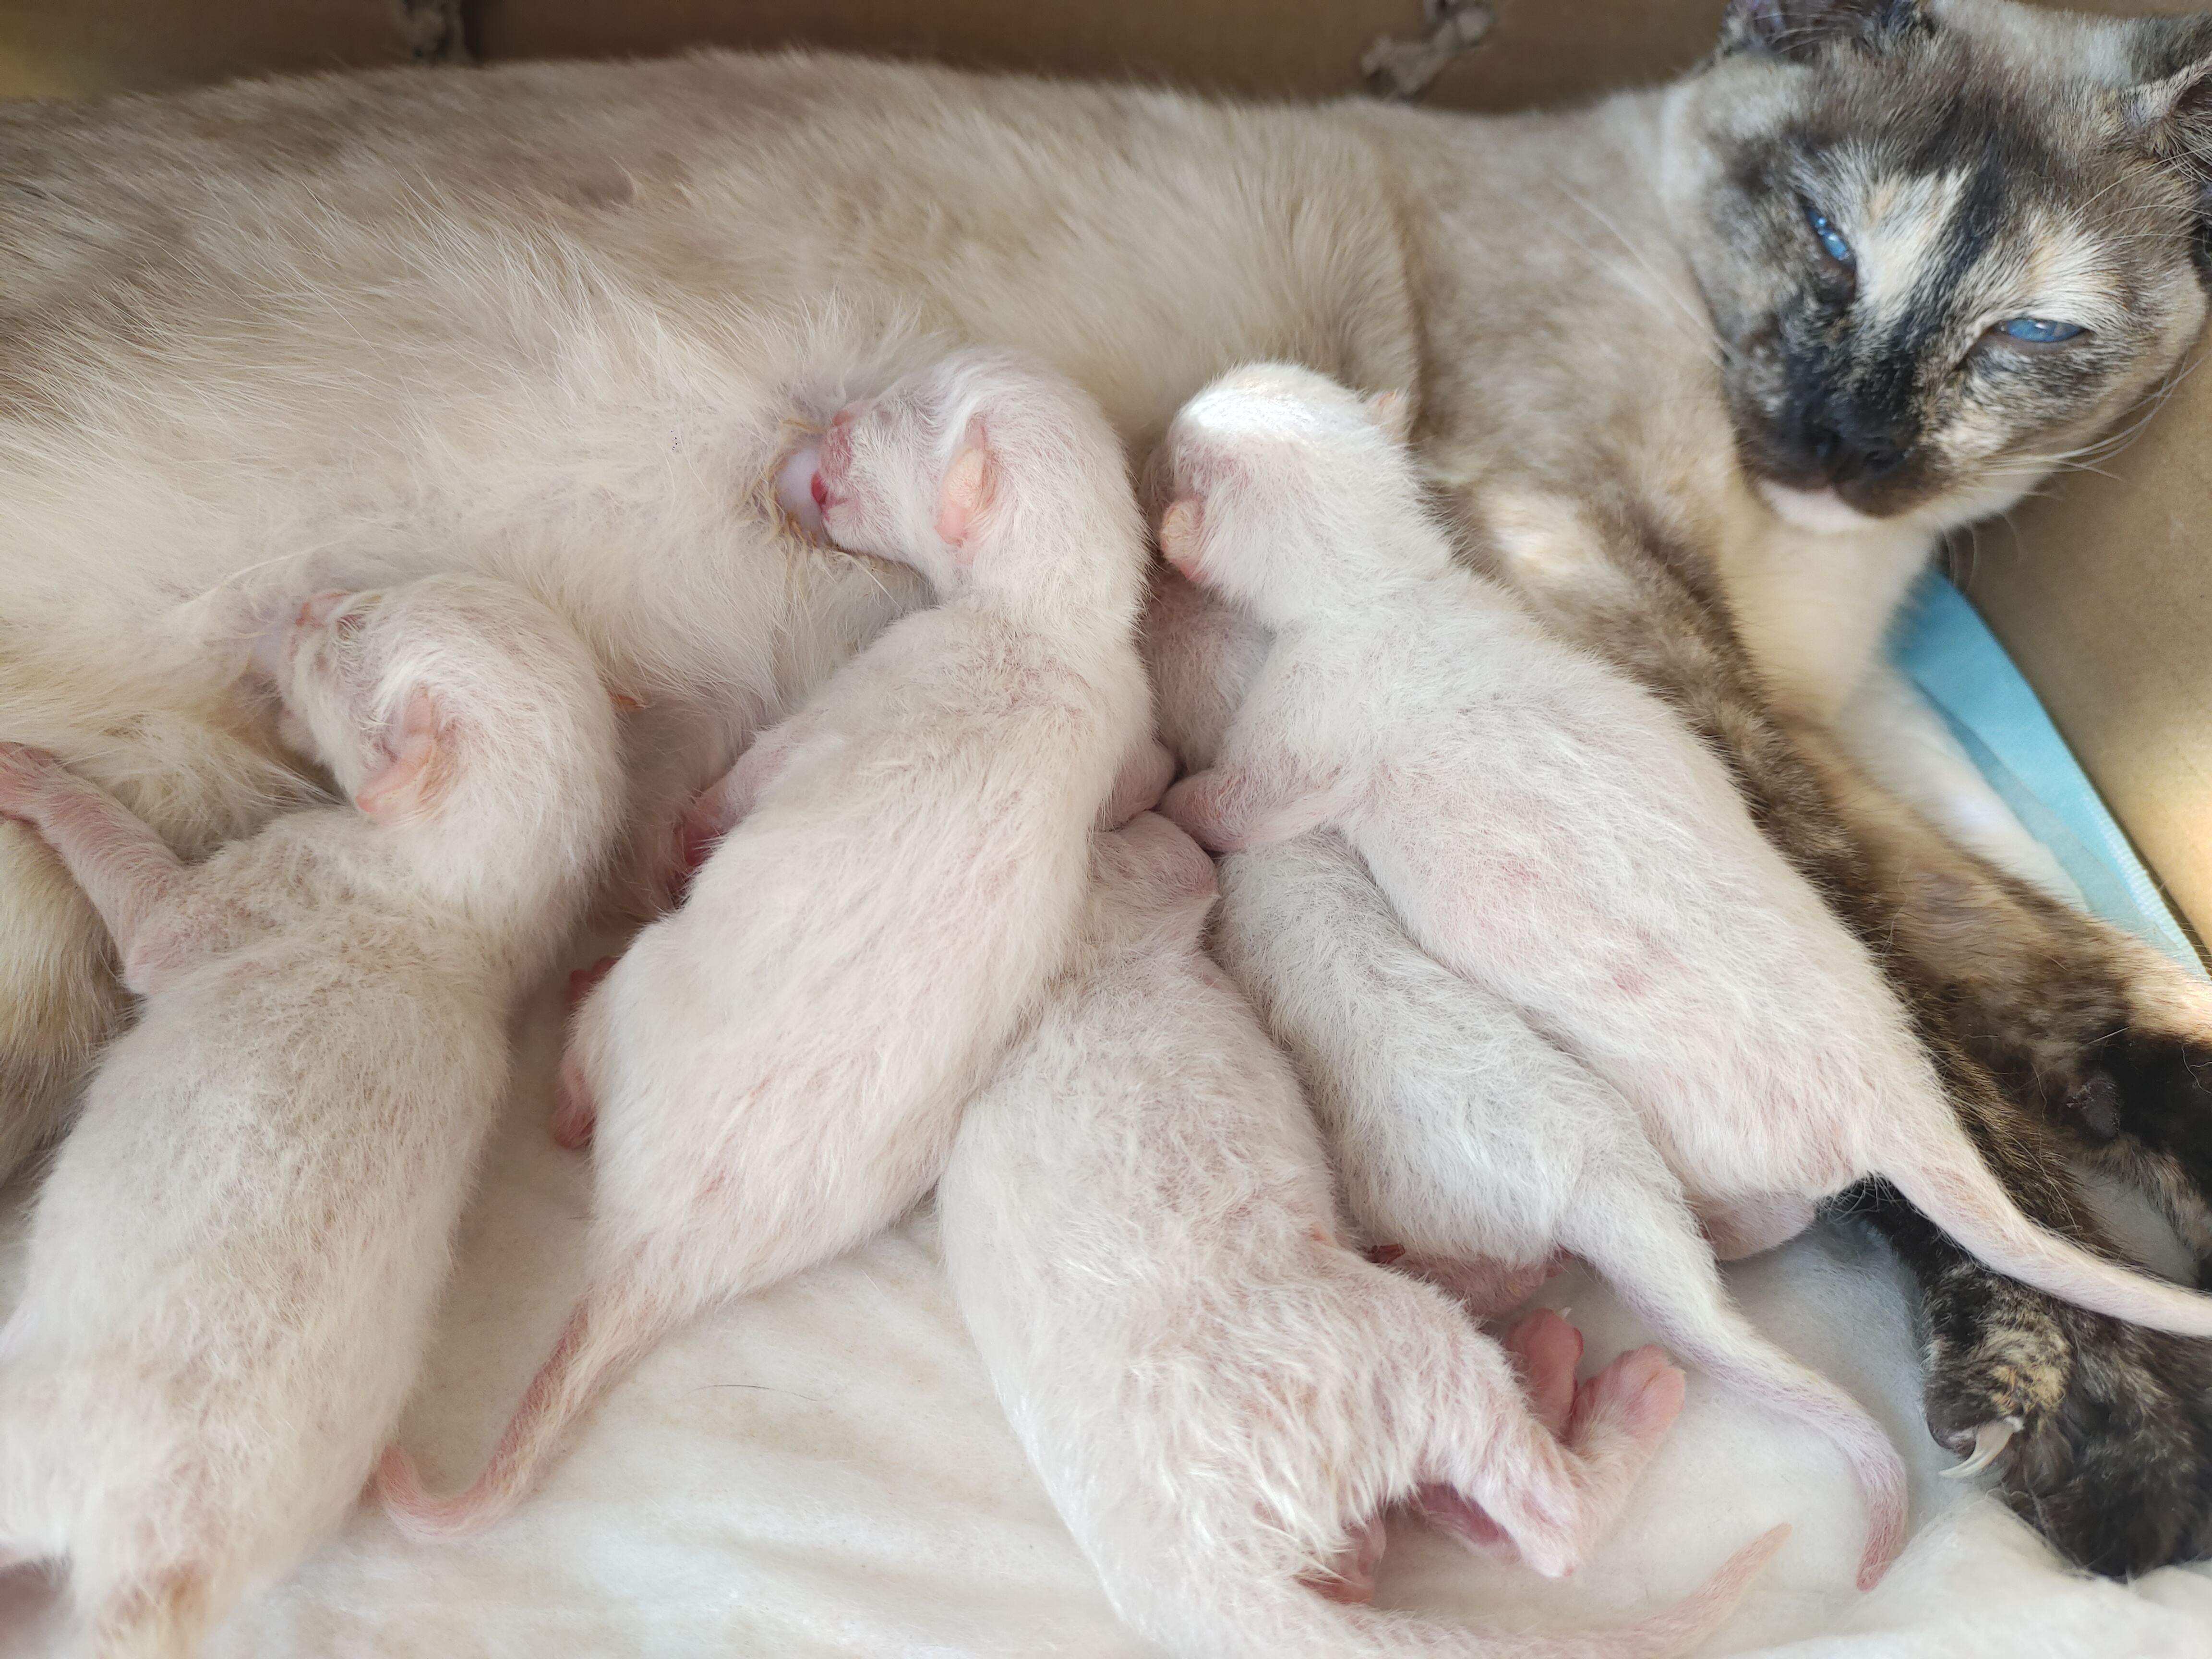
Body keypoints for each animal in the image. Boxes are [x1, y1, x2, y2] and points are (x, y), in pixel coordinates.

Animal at [0, 0, 2208, 1572]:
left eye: (2025, 336)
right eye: (1827, 239)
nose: (1844, 443)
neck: (1810, 581)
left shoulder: (1778, 708)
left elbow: (2031, 970)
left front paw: (2148, 1172)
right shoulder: (1613, 600)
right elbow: (1936, 1070)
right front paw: (2112, 1422)